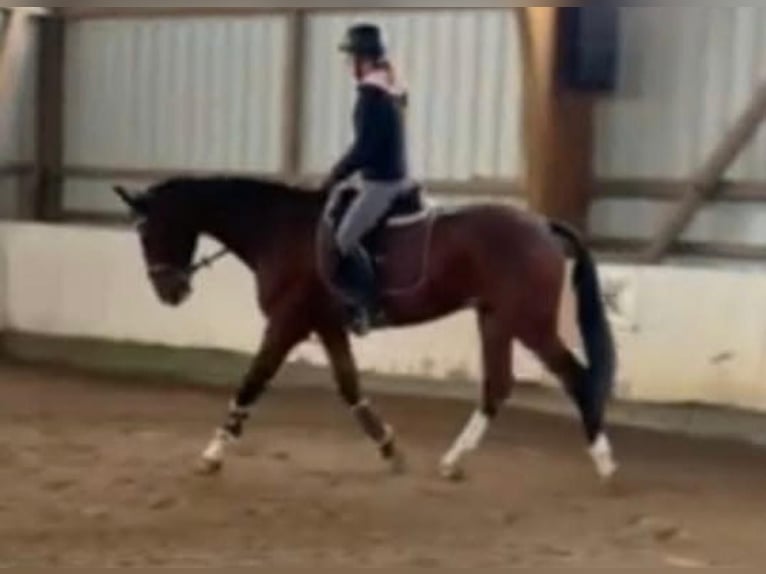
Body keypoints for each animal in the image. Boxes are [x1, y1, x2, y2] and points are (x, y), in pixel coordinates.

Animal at [112, 176, 618, 482]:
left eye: (148, 231)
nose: (170, 292)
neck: (279, 229)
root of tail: (542, 226)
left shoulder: (287, 323)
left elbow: (253, 381)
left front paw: (213, 453)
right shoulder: (325, 324)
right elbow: (349, 385)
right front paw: (390, 449)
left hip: (529, 322)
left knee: (576, 377)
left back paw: (605, 464)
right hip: (495, 318)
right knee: (498, 386)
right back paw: (453, 461)